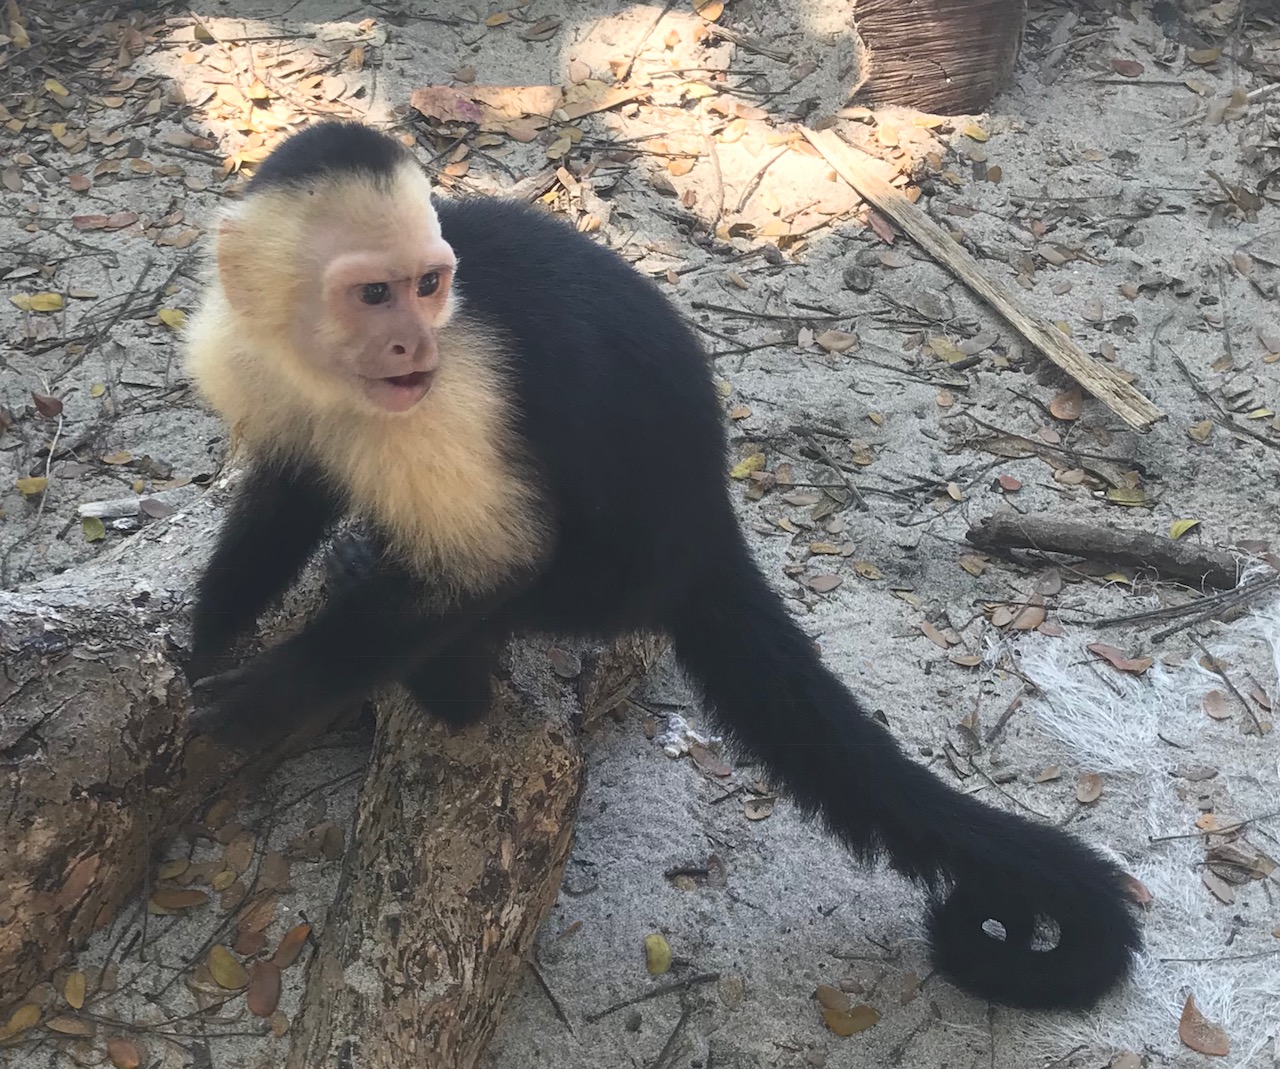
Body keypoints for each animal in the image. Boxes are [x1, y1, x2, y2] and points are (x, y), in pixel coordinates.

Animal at [180, 120, 1141, 1013]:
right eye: (374, 292)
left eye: (429, 285)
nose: (412, 344)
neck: (328, 374)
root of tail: (713, 522)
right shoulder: (250, 356)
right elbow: (286, 490)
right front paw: (207, 638)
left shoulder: (452, 393)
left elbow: (495, 556)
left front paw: (267, 695)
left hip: (617, 578)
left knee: (502, 589)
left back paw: (449, 681)